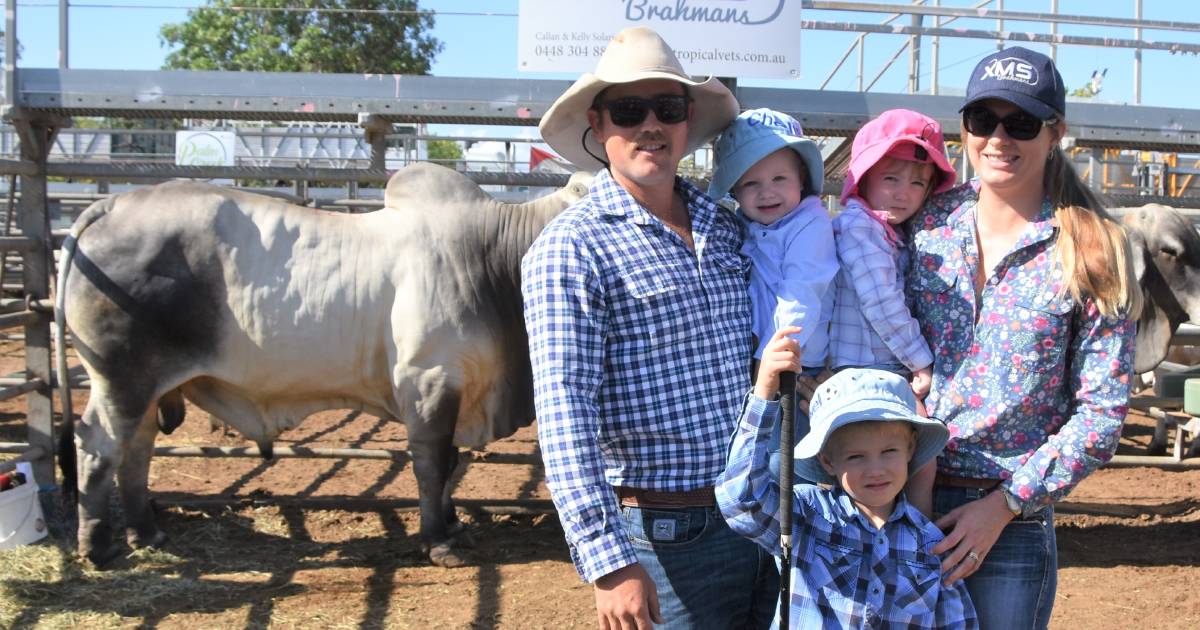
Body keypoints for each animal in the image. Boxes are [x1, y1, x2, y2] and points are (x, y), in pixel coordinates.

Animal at [58, 162, 592, 564]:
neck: (490, 257)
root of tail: (114, 205)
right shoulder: (428, 380)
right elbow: (433, 464)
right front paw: (438, 541)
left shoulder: (455, 386)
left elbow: (451, 462)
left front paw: (453, 525)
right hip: (121, 379)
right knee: (99, 447)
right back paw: (98, 546)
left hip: (147, 387)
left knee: (137, 450)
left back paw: (146, 533)